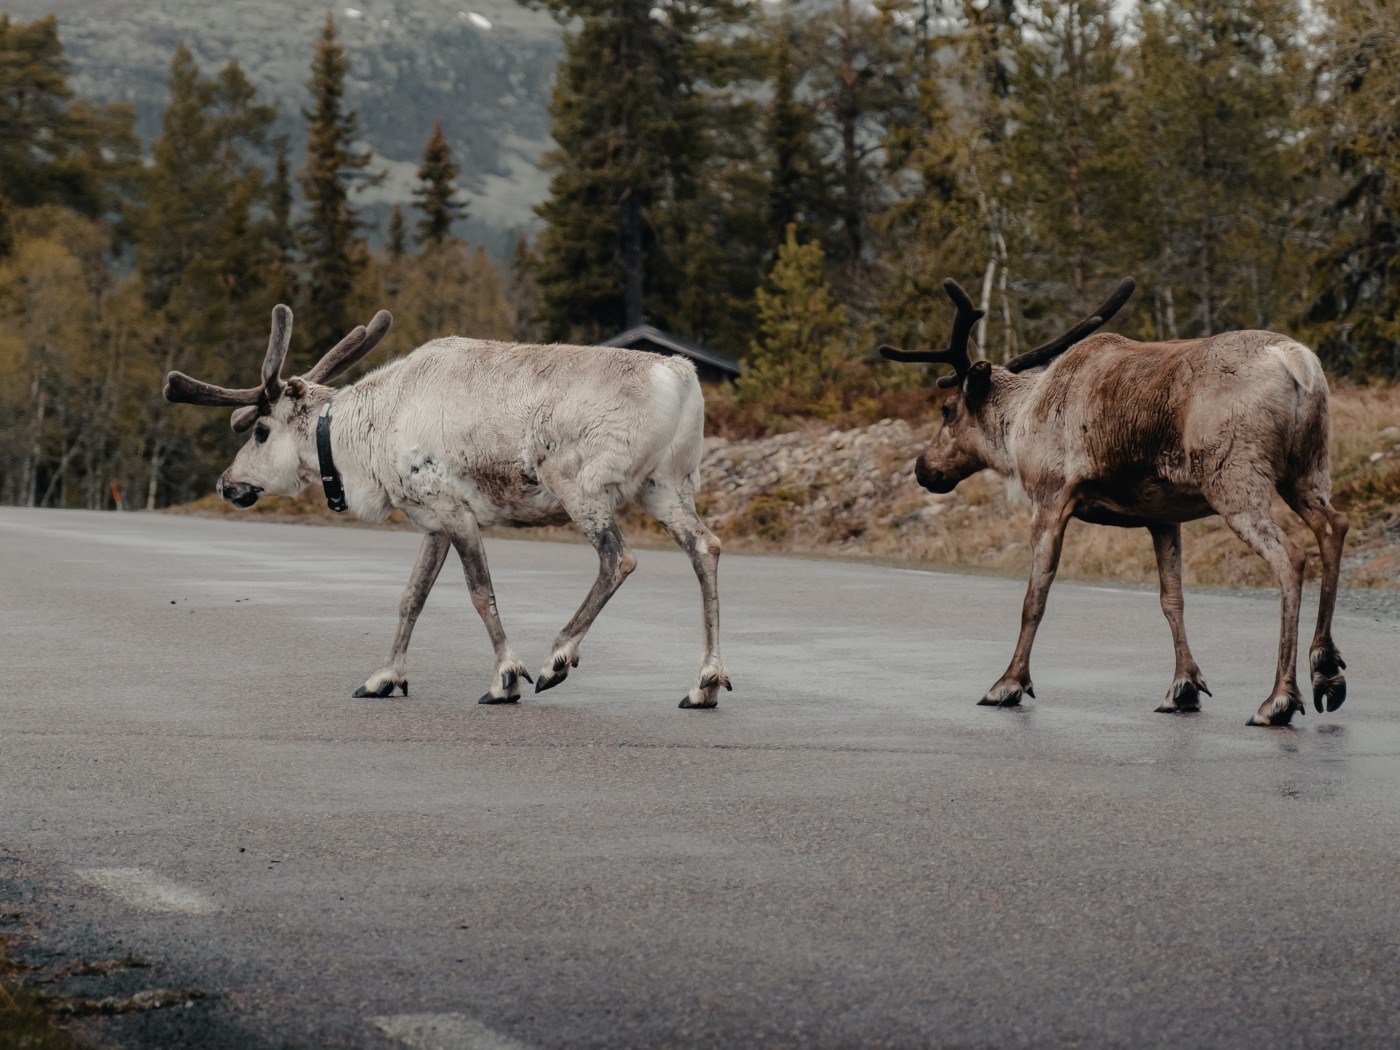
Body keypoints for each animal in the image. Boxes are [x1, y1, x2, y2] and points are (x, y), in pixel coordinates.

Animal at [163, 305, 730, 709]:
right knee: (706, 546)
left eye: (260, 431)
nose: (226, 483)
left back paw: (557, 659)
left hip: (581, 486)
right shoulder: (430, 522)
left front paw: (506, 678)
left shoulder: (453, 508)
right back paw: (705, 682)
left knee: (619, 558)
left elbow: (480, 593)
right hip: (666, 485)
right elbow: (411, 598)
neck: (367, 435)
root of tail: (681, 377)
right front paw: (384, 677)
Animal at [880, 278, 1348, 727]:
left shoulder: (1050, 497)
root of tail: (1298, 363)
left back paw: (1278, 700)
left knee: (1291, 556)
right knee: (1334, 526)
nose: (924, 469)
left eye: (947, 409)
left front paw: (1008, 683)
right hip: (1306, 469)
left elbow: (1035, 597)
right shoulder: (1163, 516)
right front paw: (1183, 687)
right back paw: (1326, 670)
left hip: (1235, 478)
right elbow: (1172, 599)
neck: (1020, 423)